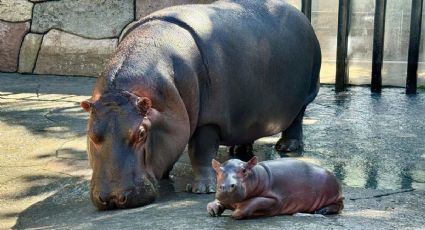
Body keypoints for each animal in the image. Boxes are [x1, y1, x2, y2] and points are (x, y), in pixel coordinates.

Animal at [79, 0, 320, 209]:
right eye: (90, 133)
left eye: (141, 133)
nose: (113, 198)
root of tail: (299, 13)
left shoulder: (208, 119)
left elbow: (200, 150)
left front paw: (201, 190)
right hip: (249, 112)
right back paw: (239, 150)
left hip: (306, 94)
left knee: (296, 120)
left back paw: (287, 147)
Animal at [207, 156, 342, 219]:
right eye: (219, 171)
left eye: (244, 170)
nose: (226, 187)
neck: (255, 175)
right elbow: (213, 202)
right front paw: (213, 209)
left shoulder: (275, 200)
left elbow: (253, 202)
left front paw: (236, 214)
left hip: (334, 193)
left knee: (339, 204)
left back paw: (323, 211)